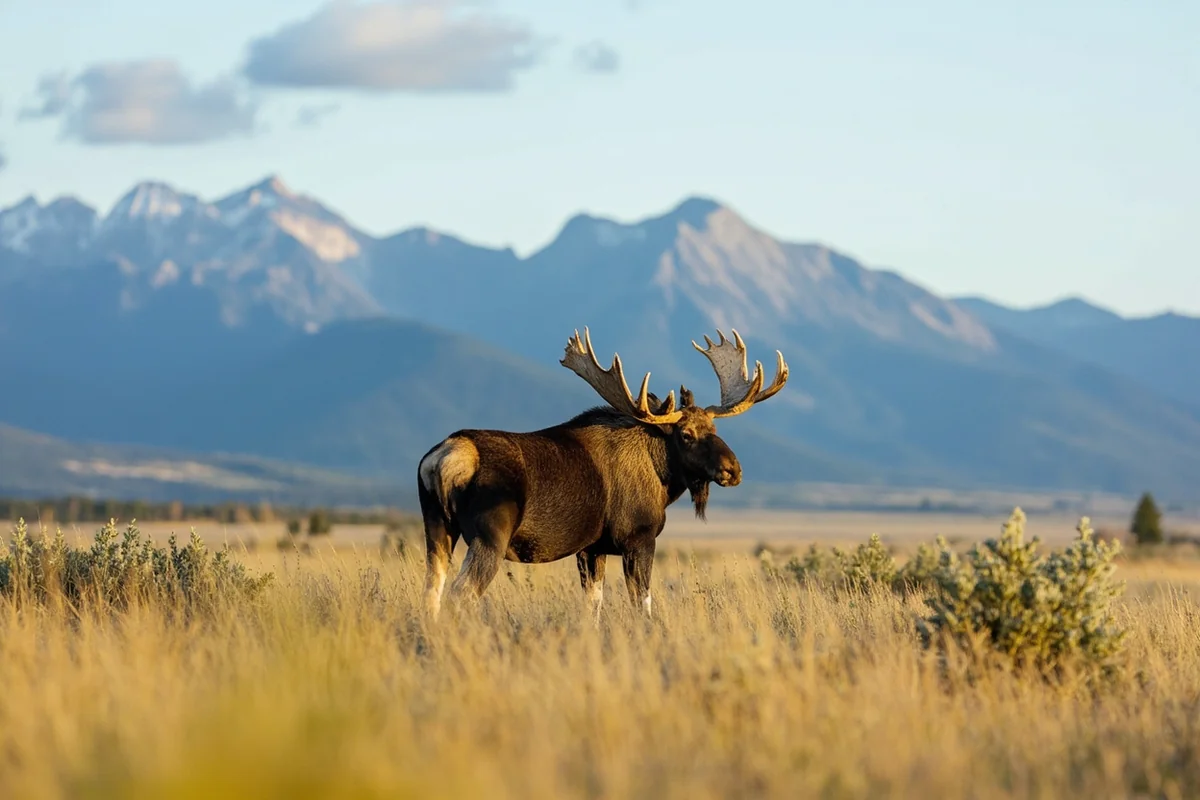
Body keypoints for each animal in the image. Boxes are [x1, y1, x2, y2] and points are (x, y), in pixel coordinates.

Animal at [417, 327, 789, 620]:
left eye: (714, 428)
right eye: (686, 434)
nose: (733, 469)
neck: (663, 480)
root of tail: (445, 458)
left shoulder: (591, 549)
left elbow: (592, 608)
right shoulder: (639, 539)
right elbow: (642, 606)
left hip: (437, 528)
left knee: (432, 592)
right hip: (489, 535)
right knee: (461, 594)